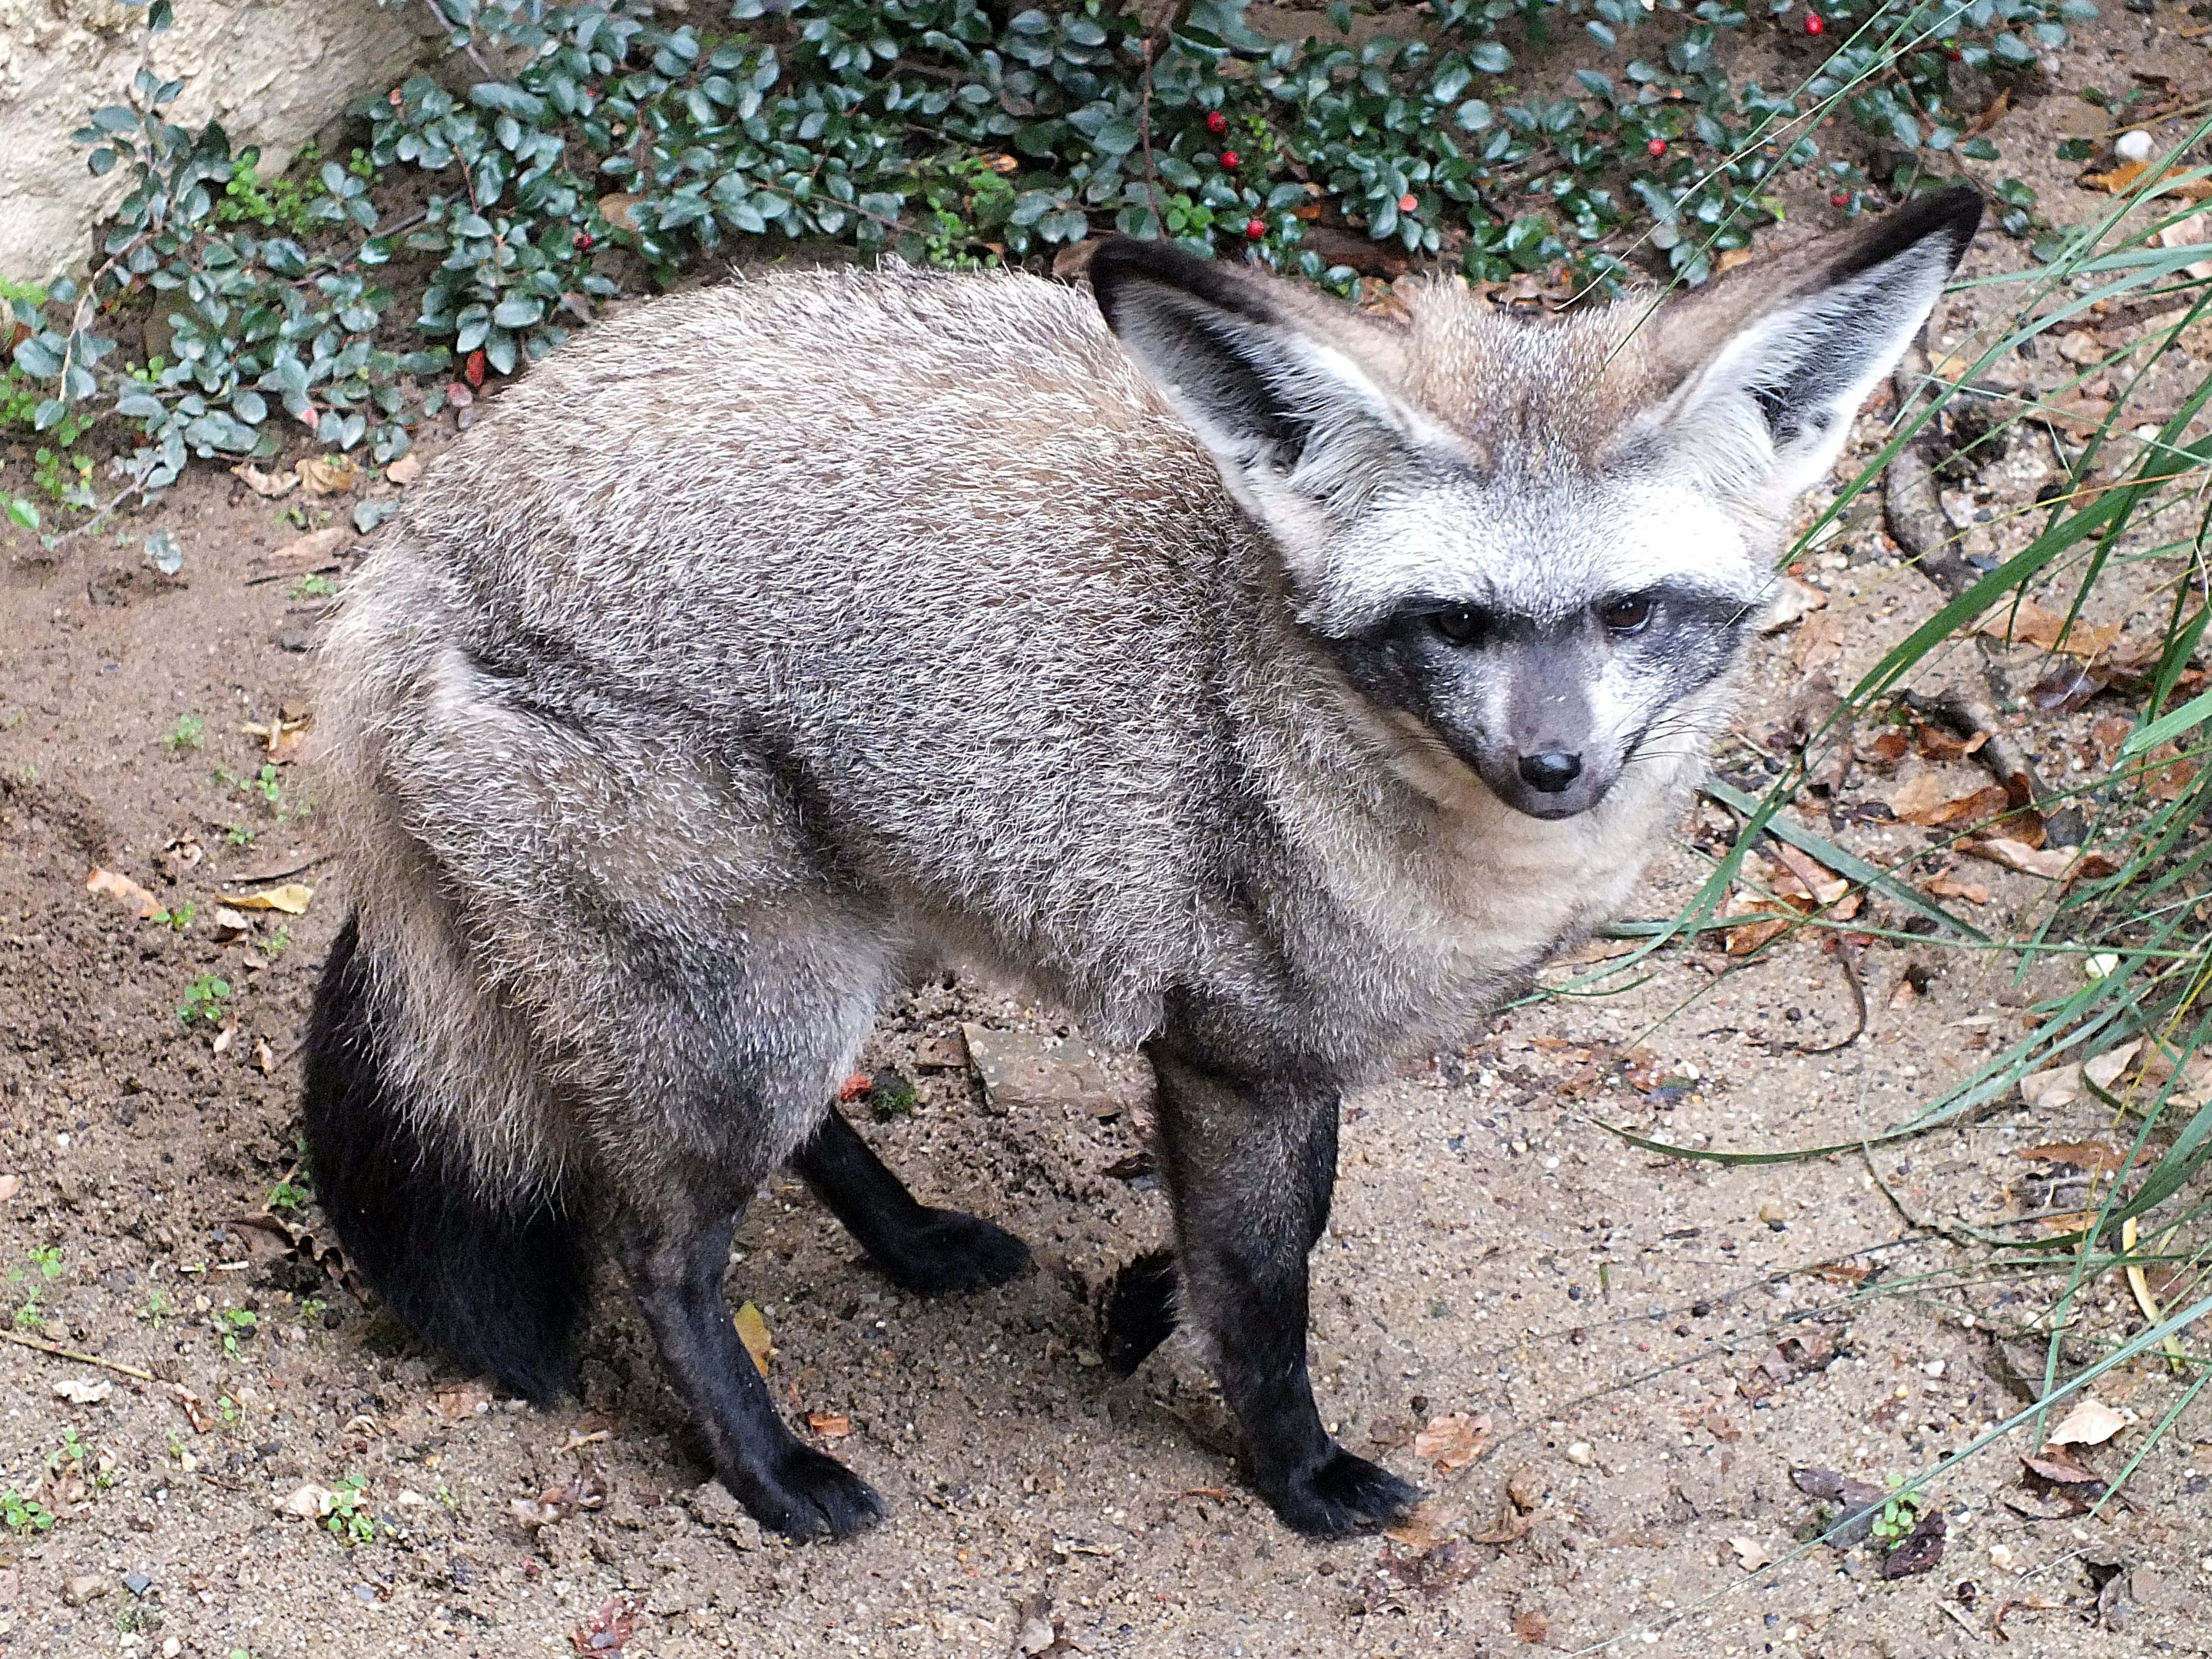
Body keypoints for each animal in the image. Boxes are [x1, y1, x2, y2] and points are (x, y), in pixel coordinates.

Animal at [301, 187, 1981, 1543]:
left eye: (1630, 613)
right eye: (1457, 625)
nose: (1556, 768)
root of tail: (424, 530)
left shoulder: (1281, 1055)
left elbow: (1265, 1233)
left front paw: (1140, 1302)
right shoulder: (1236, 1054)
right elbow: (1270, 1290)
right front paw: (1294, 1472)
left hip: (841, 946)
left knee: (801, 1133)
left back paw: (910, 1239)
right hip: (746, 1013)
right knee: (662, 1256)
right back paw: (770, 1472)